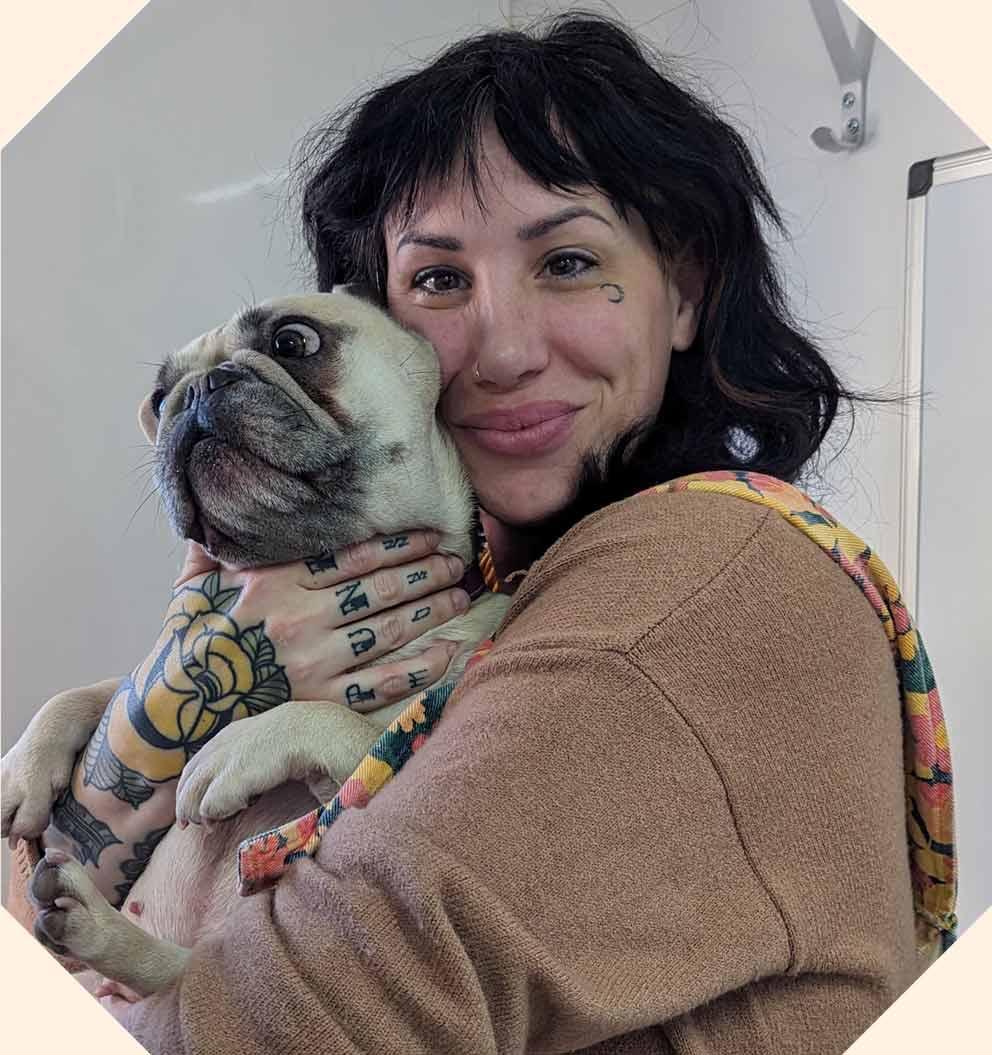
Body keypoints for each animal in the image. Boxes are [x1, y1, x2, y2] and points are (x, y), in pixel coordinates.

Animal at [1, 293, 510, 1000]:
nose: (193, 392)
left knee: (177, 974)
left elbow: (345, 723)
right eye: (158, 398)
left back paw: (90, 924)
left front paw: (239, 745)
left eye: (293, 341)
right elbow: (85, 694)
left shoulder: (375, 771)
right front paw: (23, 770)